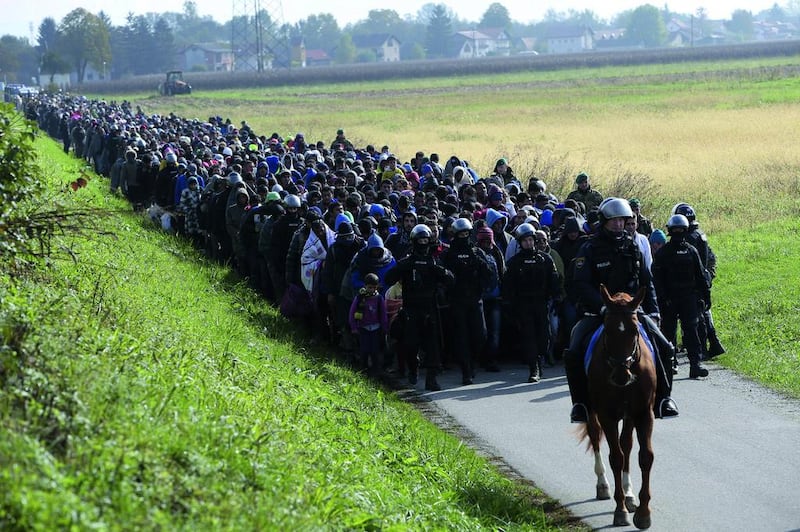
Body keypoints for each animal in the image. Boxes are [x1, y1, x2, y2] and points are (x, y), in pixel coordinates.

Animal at [580, 284, 656, 528]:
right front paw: (620, 510)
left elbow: (645, 457)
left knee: (627, 445)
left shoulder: (643, 413)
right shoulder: (607, 415)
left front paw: (642, 512)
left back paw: (629, 494)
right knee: (596, 437)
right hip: (591, 410)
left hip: (629, 415)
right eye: (608, 330)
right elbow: (616, 457)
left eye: (634, 330)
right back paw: (603, 484)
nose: (622, 375)